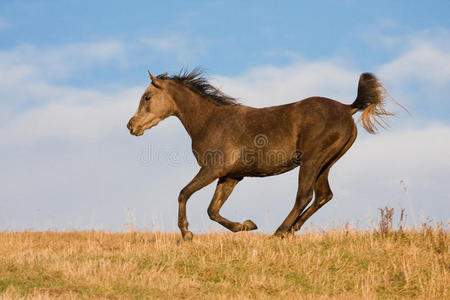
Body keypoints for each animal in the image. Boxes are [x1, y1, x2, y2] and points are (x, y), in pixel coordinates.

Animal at [126, 69, 394, 240]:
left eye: (147, 97)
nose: (131, 126)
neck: (210, 120)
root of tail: (347, 109)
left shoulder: (212, 169)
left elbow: (184, 193)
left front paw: (186, 233)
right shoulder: (231, 176)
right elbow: (213, 210)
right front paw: (246, 225)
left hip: (312, 161)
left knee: (304, 195)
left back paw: (280, 231)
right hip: (326, 163)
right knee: (323, 195)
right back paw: (291, 230)